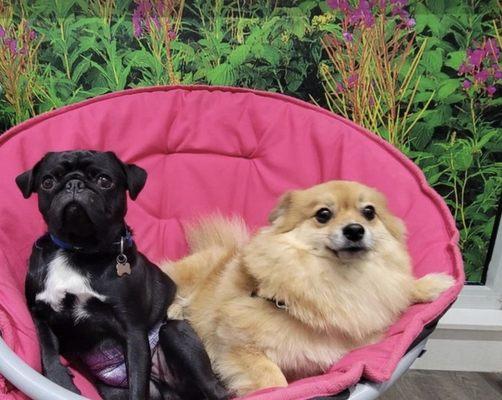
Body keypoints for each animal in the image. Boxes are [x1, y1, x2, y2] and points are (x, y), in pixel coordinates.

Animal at [15, 150, 227, 400]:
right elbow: (49, 355)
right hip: (114, 391)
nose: (74, 183)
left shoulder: (132, 330)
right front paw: (61, 384)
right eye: (47, 182)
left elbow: (137, 382)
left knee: (216, 390)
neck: (78, 250)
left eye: (104, 181)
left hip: (174, 332)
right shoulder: (41, 316)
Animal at [162, 181, 454, 396]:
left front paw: (432, 285)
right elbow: (275, 380)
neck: (338, 280)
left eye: (369, 212)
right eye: (323, 214)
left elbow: (400, 287)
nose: (355, 229)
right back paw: (176, 310)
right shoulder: (237, 346)